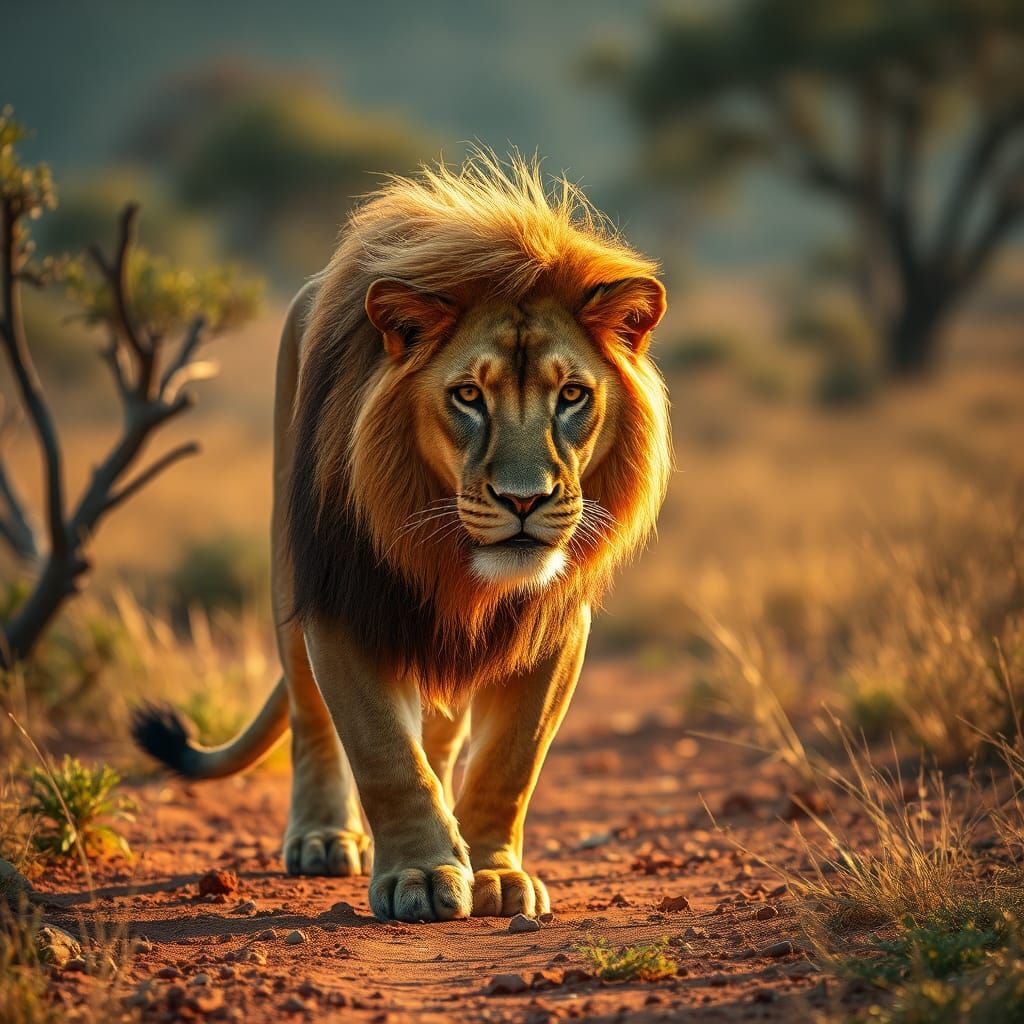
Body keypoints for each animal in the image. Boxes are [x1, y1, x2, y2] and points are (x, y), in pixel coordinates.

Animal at [133, 153, 671, 923]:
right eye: (468, 396)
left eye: (572, 396)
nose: (524, 500)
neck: (455, 563)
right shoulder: (341, 600)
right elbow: (384, 753)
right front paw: (419, 874)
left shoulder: (555, 626)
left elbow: (510, 759)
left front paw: (493, 871)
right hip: (289, 569)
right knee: (311, 718)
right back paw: (323, 838)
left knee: (443, 736)